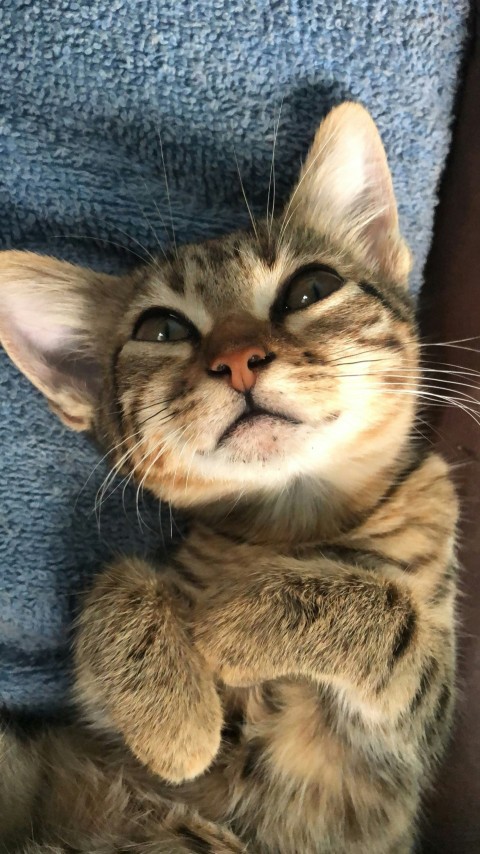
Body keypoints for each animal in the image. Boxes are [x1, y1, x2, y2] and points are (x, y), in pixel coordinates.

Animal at [0, 103, 458, 852]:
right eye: (161, 329)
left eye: (310, 288)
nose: (240, 358)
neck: (292, 525)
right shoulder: (89, 715)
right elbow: (113, 580)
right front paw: (174, 720)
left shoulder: (405, 740)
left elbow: (397, 614)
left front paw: (235, 621)